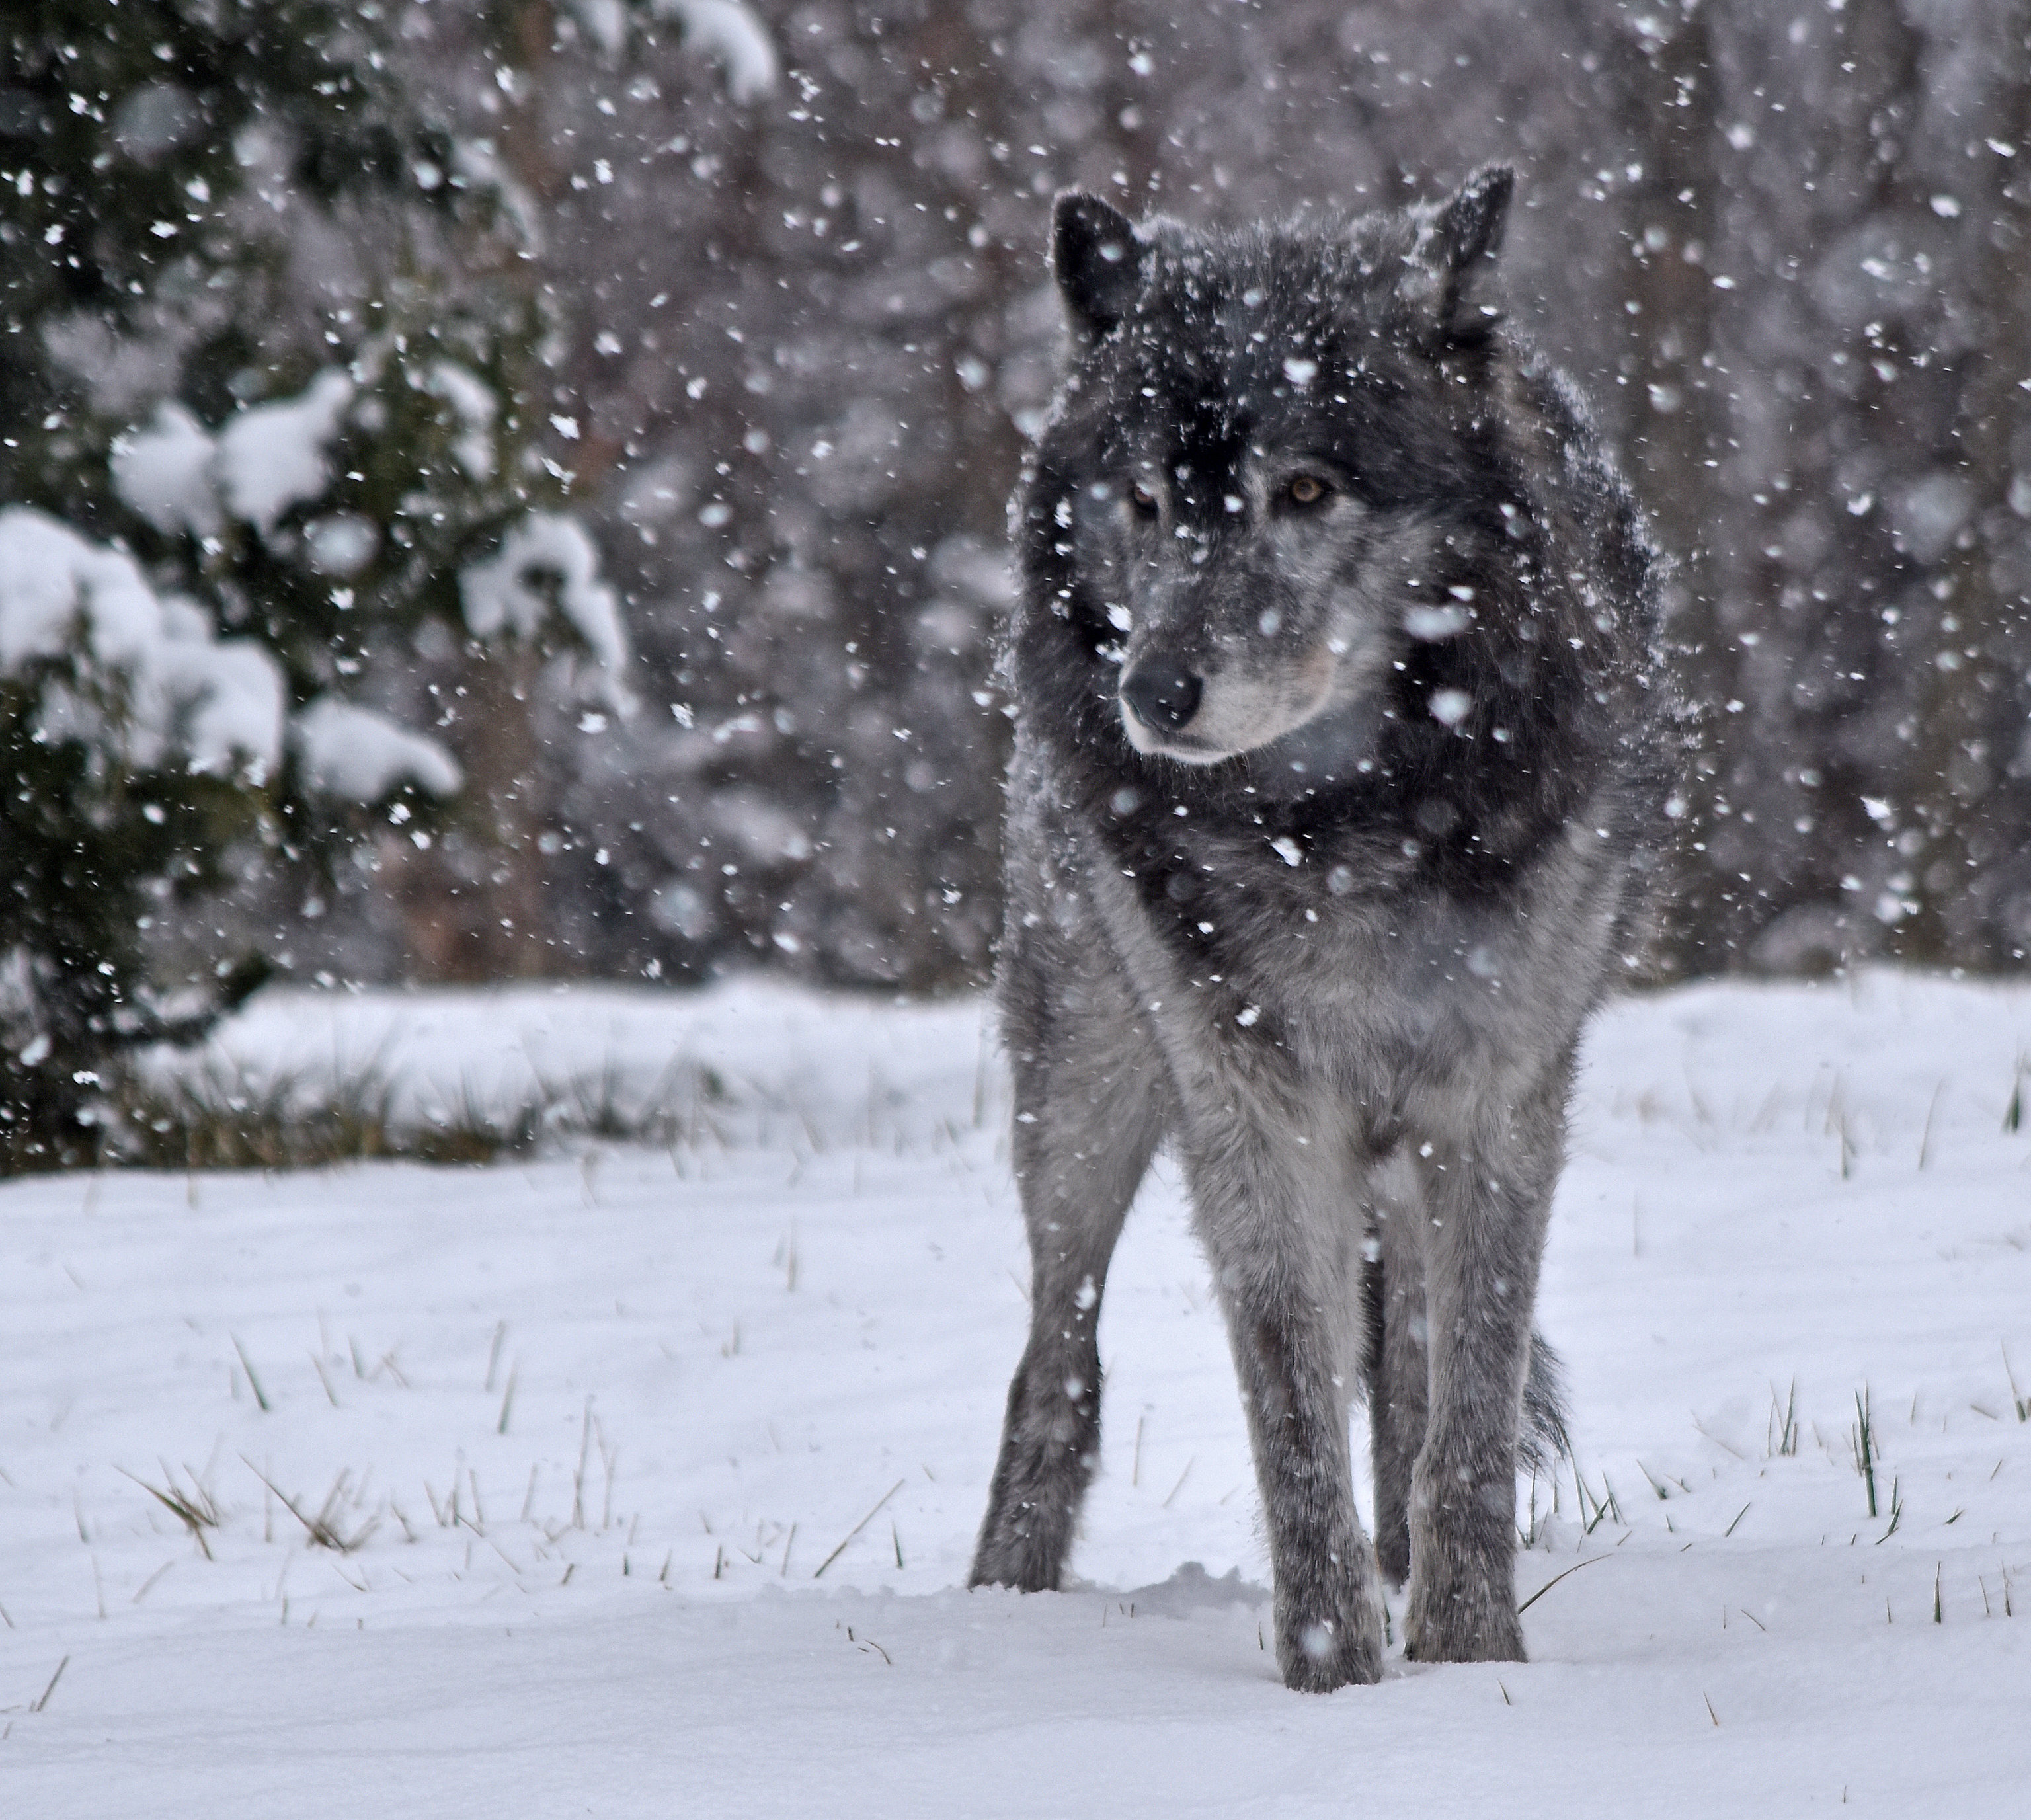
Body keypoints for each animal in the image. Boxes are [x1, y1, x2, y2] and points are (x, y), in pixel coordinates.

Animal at [967, 166, 1665, 1690]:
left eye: (1303, 488)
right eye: (1147, 500)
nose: (1154, 692)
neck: (1345, 822)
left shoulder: (1499, 1099)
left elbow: (1464, 1402)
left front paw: (1468, 1654)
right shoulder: (1249, 1101)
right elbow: (1290, 1396)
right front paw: (1334, 1669)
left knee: (1403, 1369)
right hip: (1084, 1086)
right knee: (1056, 1360)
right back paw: (998, 1604)